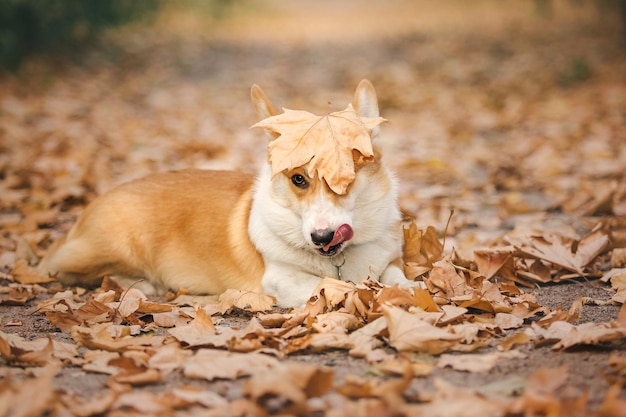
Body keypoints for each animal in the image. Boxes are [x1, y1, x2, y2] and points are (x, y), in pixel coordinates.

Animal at [39, 79, 410, 308]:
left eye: (345, 177)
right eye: (298, 179)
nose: (322, 237)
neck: (335, 260)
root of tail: (85, 213)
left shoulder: (388, 261)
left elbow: (395, 277)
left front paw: (405, 290)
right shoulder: (281, 279)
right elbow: (334, 287)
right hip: (115, 247)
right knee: (65, 271)